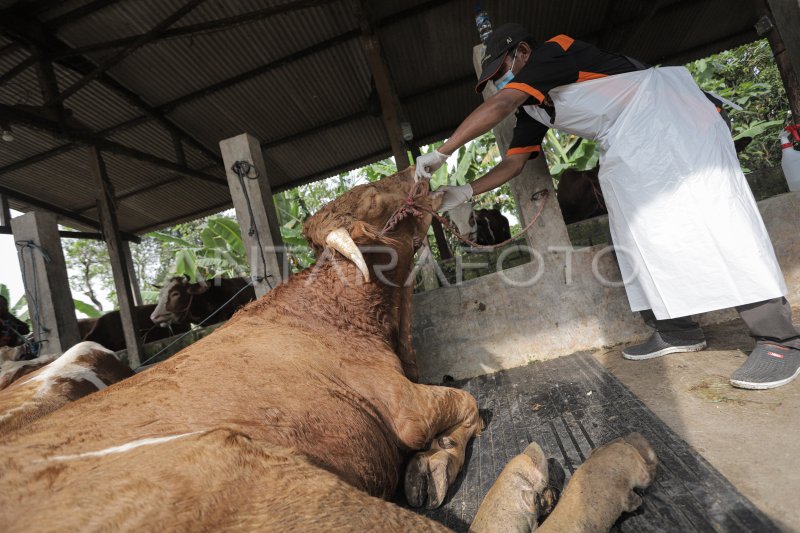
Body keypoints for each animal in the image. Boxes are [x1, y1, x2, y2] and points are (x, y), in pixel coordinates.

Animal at [0, 169, 656, 528]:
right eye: (377, 198)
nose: (421, 168)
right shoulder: (404, 405)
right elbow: (466, 406)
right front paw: (436, 461)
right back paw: (596, 468)